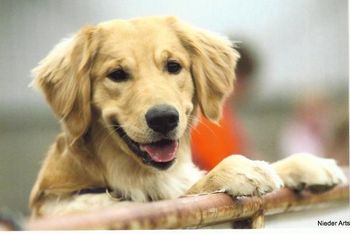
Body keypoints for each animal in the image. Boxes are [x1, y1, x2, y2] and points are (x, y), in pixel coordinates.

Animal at [29, 16, 344, 219]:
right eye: (116, 74)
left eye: (173, 66)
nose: (163, 118)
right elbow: (192, 190)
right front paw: (240, 170)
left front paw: (306, 164)